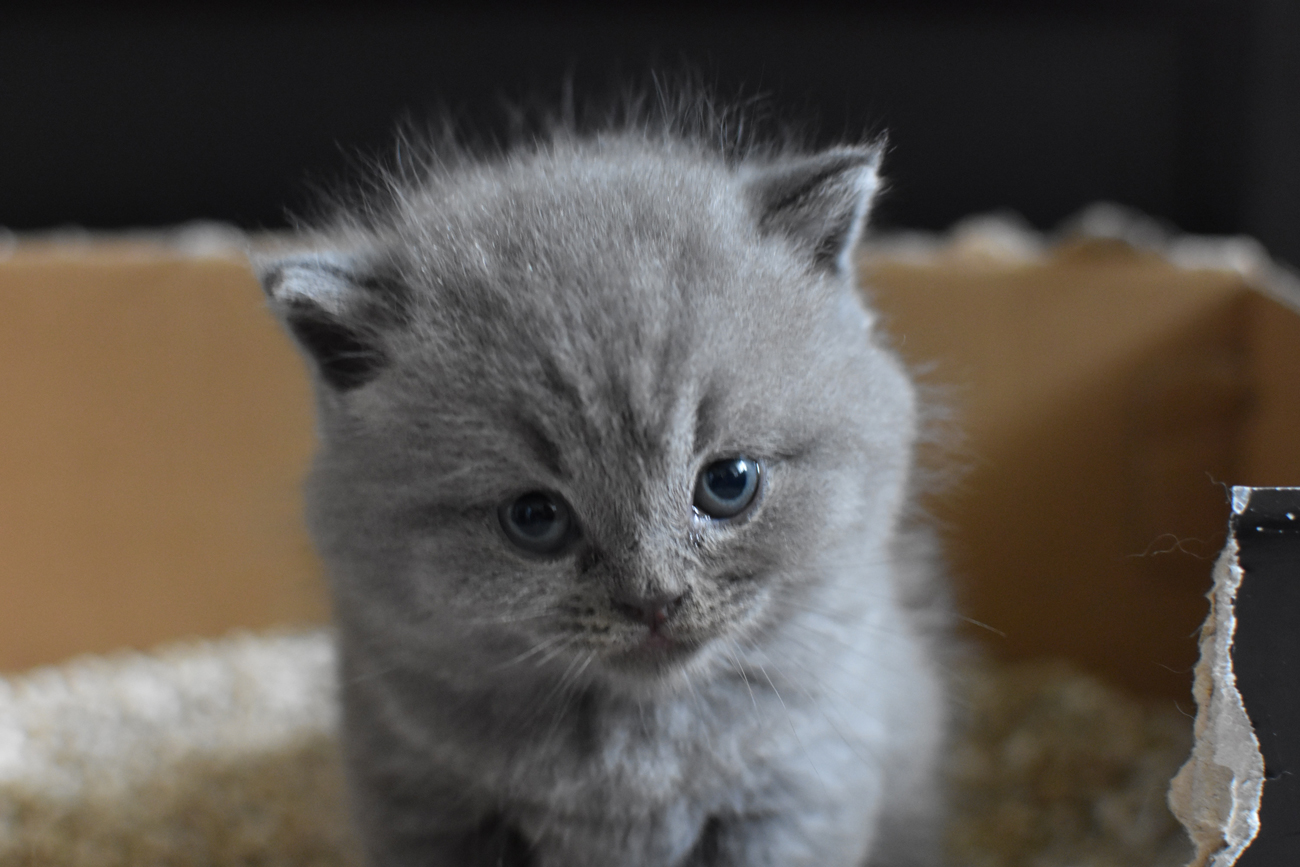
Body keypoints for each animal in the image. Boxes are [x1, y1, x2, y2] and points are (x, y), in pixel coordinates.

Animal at [258, 116, 951, 867]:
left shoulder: (799, 788)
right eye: (535, 517)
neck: (633, 754)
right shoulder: (422, 799)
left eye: (729, 483)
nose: (655, 599)